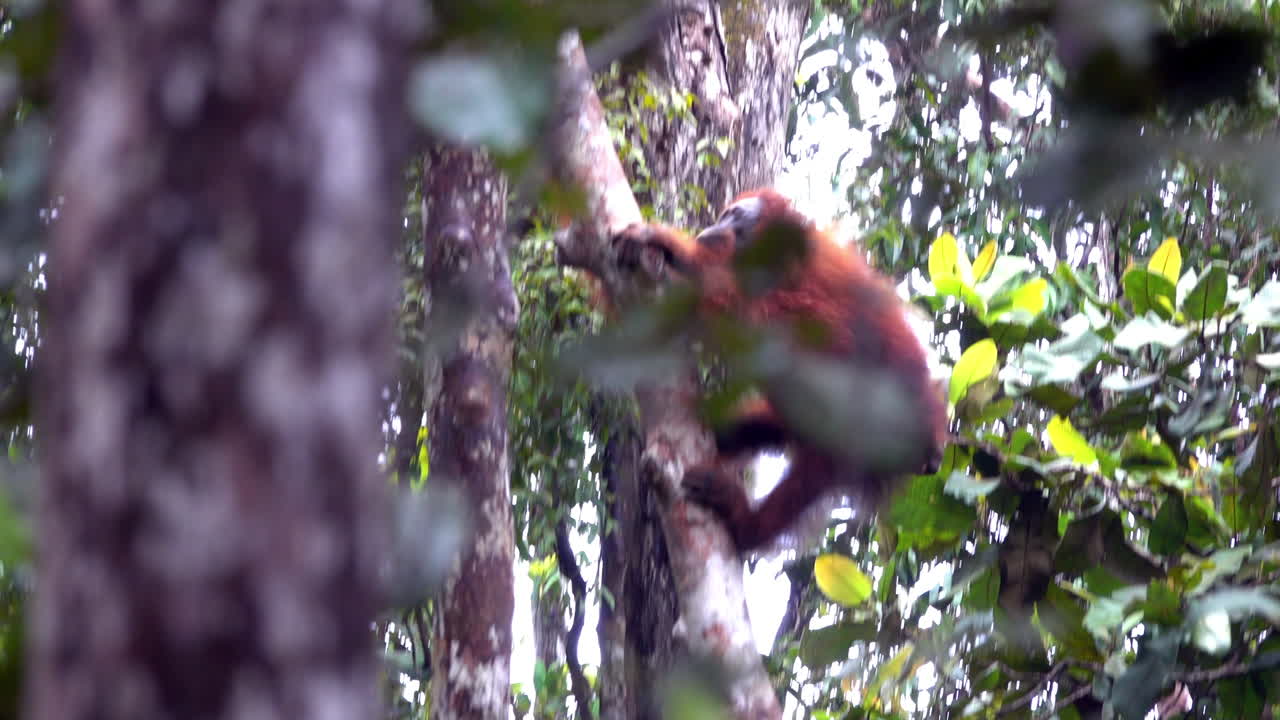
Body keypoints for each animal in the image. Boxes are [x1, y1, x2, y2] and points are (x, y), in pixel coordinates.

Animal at [612, 189, 947, 552]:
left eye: (733, 215)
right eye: (722, 216)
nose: (712, 228)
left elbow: (797, 331)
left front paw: (674, 246)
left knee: (816, 467)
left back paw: (744, 525)